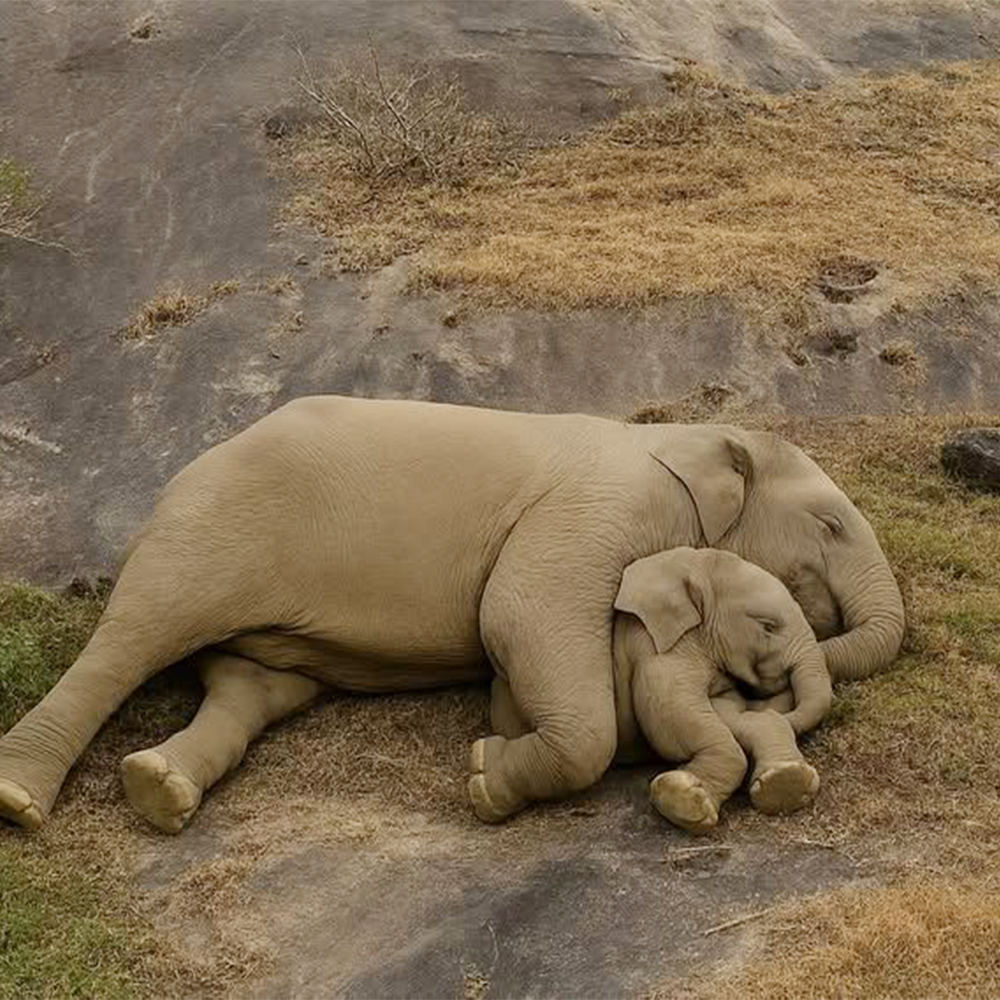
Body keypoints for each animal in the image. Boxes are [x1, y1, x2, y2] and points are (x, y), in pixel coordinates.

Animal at [490, 547, 831, 834]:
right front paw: (685, 801)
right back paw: (484, 779)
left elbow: (727, 714)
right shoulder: (653, 644)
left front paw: (784, 783)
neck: (694, 565)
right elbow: (671, 712)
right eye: (768, 626)